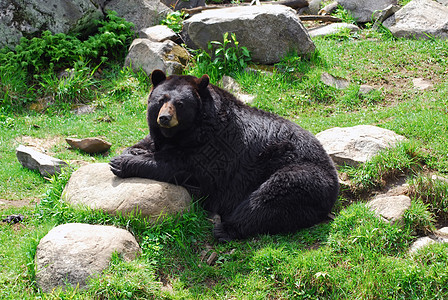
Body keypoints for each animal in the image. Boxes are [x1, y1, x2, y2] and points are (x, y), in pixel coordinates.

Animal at [110, 69, 338, 241]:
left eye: (180, 104)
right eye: (160, 100)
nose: (164, 118)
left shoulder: (216, 145)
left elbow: (180, 166)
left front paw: (121, 162)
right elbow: (152, 143)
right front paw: (134, 150)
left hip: (303, 175)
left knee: (268, 199)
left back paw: (226, 228)